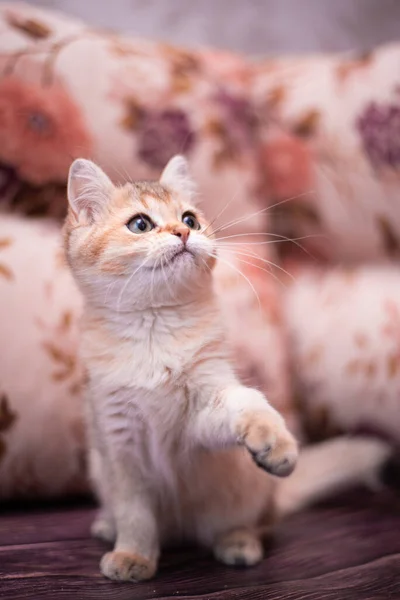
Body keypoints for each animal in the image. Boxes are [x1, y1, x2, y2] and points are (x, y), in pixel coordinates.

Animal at [64, 155, 392, 580]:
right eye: (140, 224)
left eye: (190, 219)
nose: (183, 233)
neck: (155, 329)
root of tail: (181, 529)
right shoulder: (118, 440)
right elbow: (134, 512)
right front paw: (133, 556)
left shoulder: (202, 411)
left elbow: (246, 404)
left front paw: (273, 440)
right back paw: (108, 525)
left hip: (243, 496)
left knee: (257, 523)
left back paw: (239, 542)